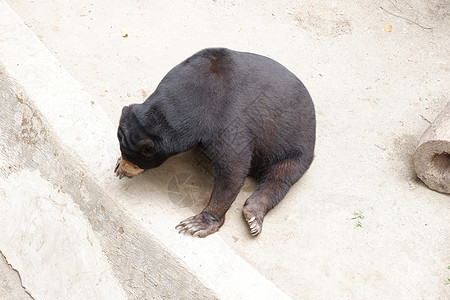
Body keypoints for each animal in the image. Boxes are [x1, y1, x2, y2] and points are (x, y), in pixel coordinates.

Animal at [114, 48, 314, 238]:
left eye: (135, 162)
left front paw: (196, 224)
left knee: (280, 177)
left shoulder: (227, 119)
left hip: (295, 148)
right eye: (124, 153)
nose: (125, 170)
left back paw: (253, 215)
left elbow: (233, 168)